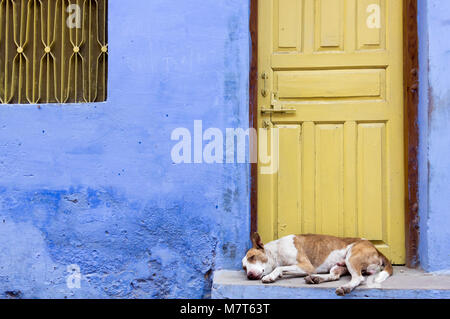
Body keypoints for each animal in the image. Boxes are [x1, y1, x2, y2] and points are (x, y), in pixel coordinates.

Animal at [241, 232, 392, 298]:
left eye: (253, 257)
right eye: (244, 267)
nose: (249, 275)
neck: (276, 251)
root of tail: (375, 248)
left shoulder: (307, 266)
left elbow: (279, 268)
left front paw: (270, 276)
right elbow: (282, 268)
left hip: (352, 257)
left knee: (358, 278)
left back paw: (345, 287)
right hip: (338, 265)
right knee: (334, 276)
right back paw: (317, 278)